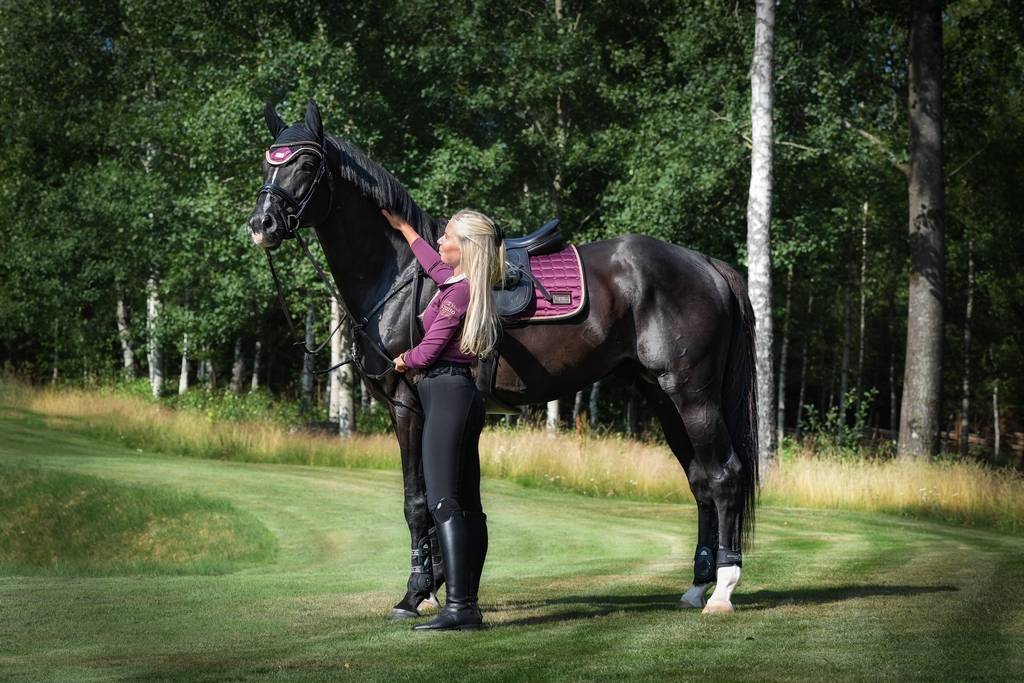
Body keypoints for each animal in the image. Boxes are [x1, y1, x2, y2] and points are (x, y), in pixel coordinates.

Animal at [247, 102, 761, 618]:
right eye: (269, 162)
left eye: (306, 163)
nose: (261, 225)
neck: (404, 278)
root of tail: (707, 265)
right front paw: (438, 584)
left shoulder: (407, 405)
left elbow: (418, 501)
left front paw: (416, 593)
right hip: (662, 396)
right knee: (700, 480)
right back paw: (697, 585)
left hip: (692, 394)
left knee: (725, 475)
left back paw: (723, 588)